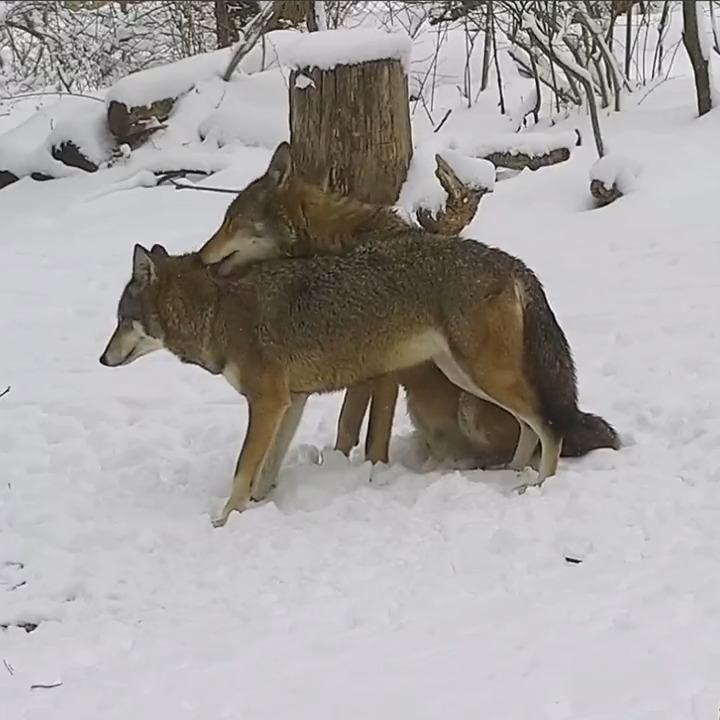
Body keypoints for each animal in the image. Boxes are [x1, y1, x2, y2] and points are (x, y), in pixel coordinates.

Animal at [100, 221, 576, 526]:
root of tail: (509, 260)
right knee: (528, 425)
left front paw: (224, 519)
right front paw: (260, 503)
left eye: (122, 320)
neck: (217, 311)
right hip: (467, 376)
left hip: (482, 375)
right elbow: (266, 468)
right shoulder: (290, 402)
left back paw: (540, 483)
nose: (102, 359)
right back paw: (514, 474)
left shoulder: (267, 403)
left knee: (549, 423)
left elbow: (242, 468)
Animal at [197, 142, 620, 470]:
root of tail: (514, 265)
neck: (335, 241)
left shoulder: (382, 372)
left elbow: (365, 429)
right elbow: (348, 425)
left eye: (232, 221)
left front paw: (366, 467)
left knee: (545, 427)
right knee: (529, 431)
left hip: (476, 388)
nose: (200, 258)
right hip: (460, 380)